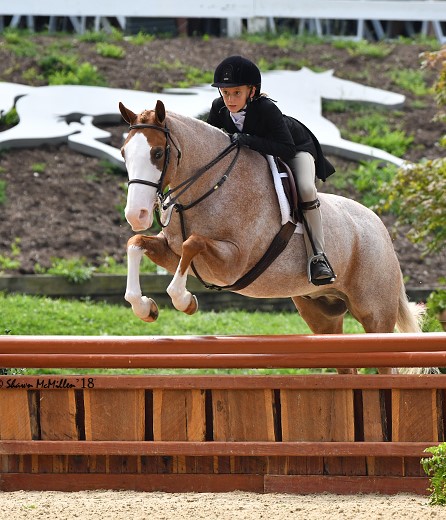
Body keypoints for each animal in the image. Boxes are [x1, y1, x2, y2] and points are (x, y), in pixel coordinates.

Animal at [117, 98, 422, 374]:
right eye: (123, 153)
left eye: (158, 153)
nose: (136, 215)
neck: (210, 184)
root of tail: (379, 226)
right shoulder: (174, 253)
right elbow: (136, 244)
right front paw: (144, 307)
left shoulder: (233, 263)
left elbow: (193, 244)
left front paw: (184, 301)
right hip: (321, 313)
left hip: (375, 314)